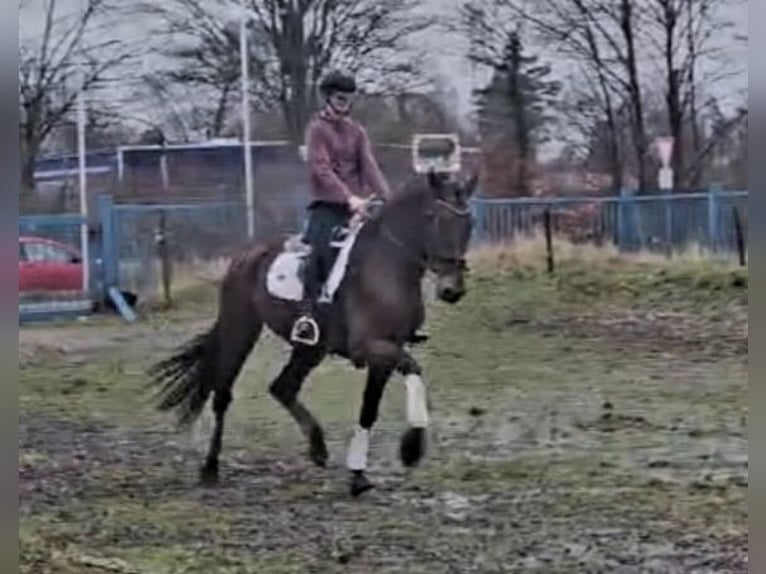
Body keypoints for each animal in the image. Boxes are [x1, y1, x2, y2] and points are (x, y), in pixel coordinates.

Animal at [147, 169, 476, 498]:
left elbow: (369, 410)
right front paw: (411, 449)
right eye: (433, 217)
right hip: (240, 328)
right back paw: (210, 467)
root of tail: (247, 254)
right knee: (223, 394)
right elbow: (414, 369)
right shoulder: (372, 347)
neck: (389, 266)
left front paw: (358, 475)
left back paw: (317, 448)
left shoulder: (385, 355)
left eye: (468, 222)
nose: (453, 290)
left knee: (282, 387)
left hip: (310, 348)